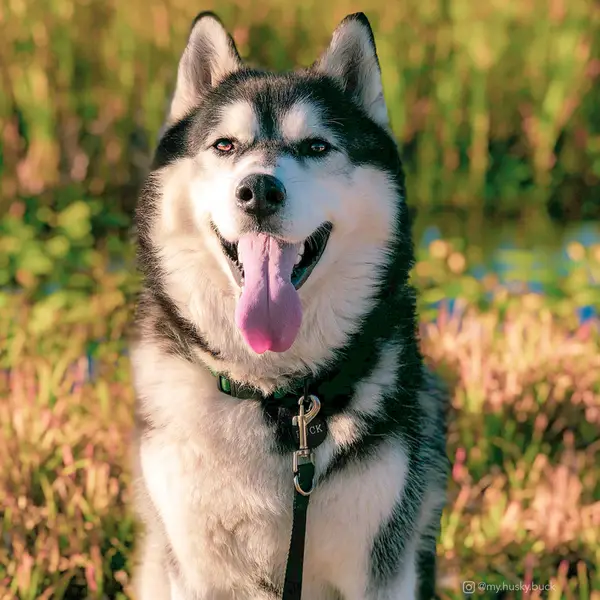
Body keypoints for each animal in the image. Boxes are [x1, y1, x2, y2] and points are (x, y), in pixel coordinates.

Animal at [132, 10, 450, 600]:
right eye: (225, 146)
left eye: (317, 147)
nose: (259, 190)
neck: (277, 397)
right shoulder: (193, 569)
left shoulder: (382, 569)